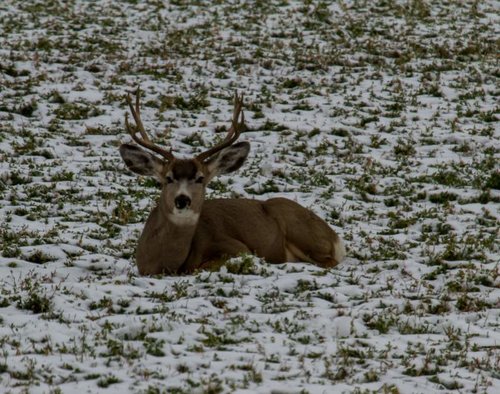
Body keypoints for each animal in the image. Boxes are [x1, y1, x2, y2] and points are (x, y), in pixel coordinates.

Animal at [119, 89, 346, 276]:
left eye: (200, 178)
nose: (182, 199)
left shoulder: (237, 247)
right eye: (168, 178)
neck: (160, 260)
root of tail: (334, 236)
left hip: (303, 233)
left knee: (329, 261)